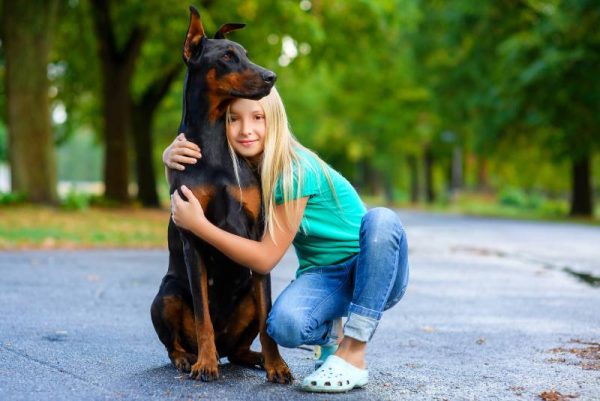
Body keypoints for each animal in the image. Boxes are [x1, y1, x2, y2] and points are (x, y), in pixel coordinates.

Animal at [149, 5, 290, 382]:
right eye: (227, 56)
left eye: (246, 53)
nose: (271, 76)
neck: (214, 147)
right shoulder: (192, 239)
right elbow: (203, 316)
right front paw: (206, 364)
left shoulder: (256, 234)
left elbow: (268, 319)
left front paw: (277, 366)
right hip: (166, 293)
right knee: (176, 343)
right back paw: (190, 358)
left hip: (247, 297)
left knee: (242, 345)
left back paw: (257, 358)